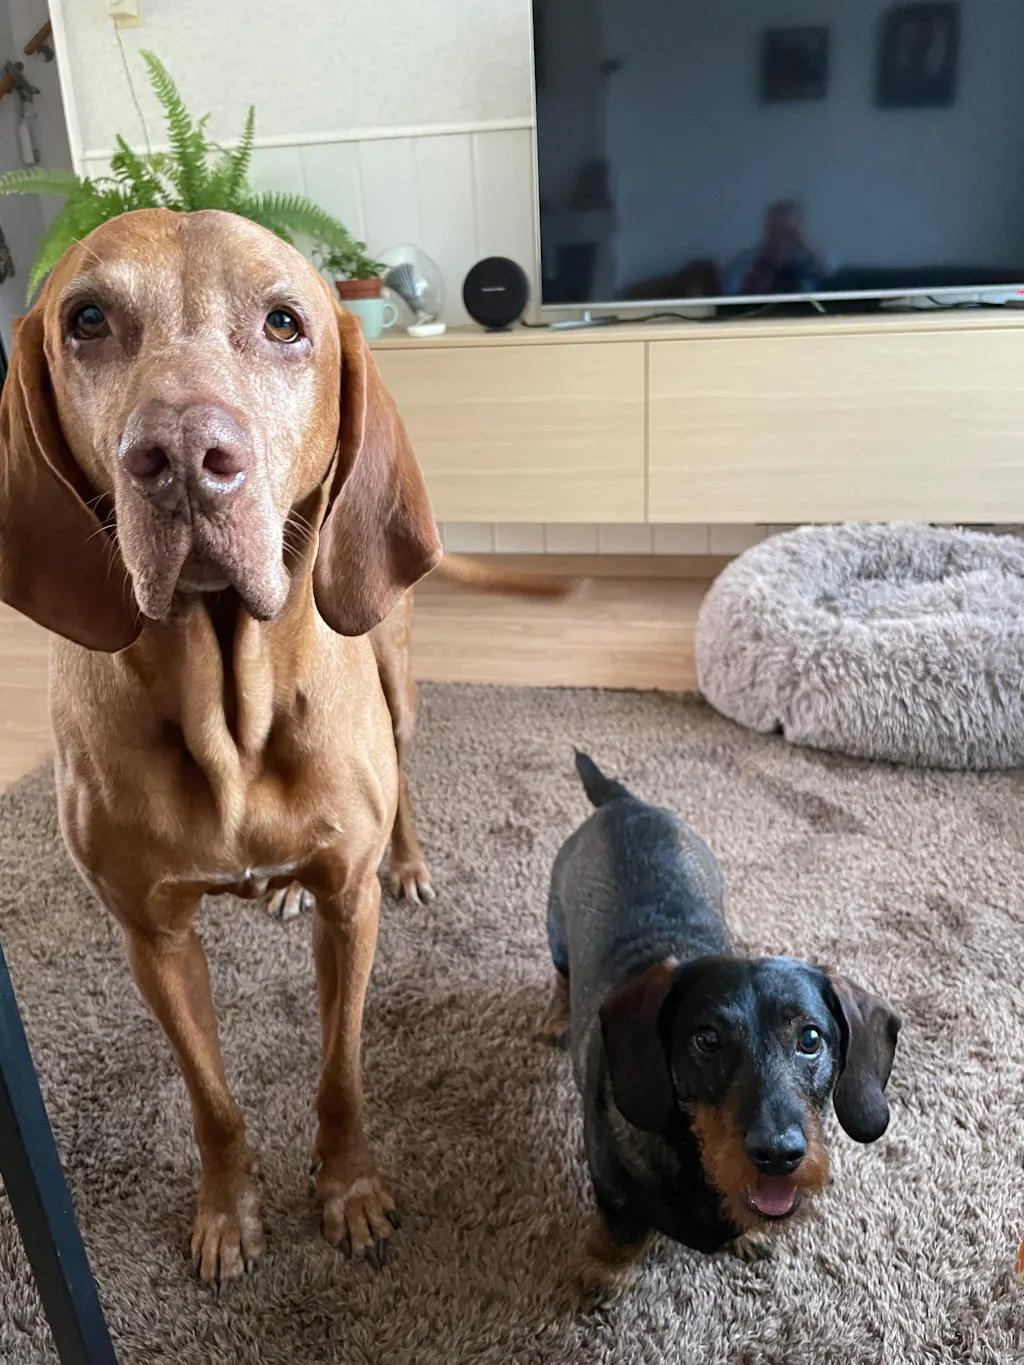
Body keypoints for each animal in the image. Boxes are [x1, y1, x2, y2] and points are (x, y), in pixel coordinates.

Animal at [0, 207, 569, 1287]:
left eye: (284, 323)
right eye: (86, 318)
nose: (182, 455)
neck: (230, 711)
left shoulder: (350, 911)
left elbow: (341, 1070)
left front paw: (349, 1191)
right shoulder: (152, 938)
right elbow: (211, 1099)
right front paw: (230, 1212)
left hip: (396, 679)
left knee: (406, 777)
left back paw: (411, 860)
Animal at [539, 752, 901, 1303]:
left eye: (810, 1038)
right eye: (707, 1040)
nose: (778, 1155)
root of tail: (624, 803)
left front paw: (750, 1236)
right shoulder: (608, 1175)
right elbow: (621, 1225)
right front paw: (605, 1272)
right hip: (556, 931)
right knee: (562, 976)